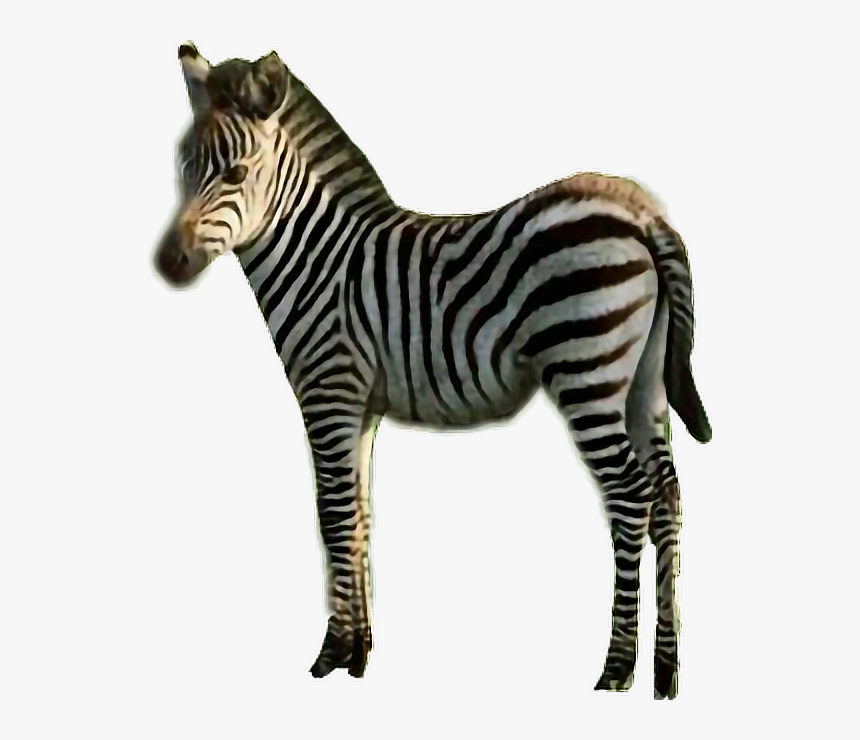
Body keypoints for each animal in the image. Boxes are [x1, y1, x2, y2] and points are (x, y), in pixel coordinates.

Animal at [154, 43, 711, 699]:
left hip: (586, 370)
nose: (168, 263)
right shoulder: (360, 407)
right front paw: (360, 651)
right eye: (182, 169)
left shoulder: (328, 389)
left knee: (629, 497)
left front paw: (331, 654)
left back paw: (616, 668)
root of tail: (642, 211)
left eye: (236, 175)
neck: (316, 255)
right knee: (668, 495)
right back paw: (666, 670)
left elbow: (332, 514)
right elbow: (360, 513)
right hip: (644, 380)